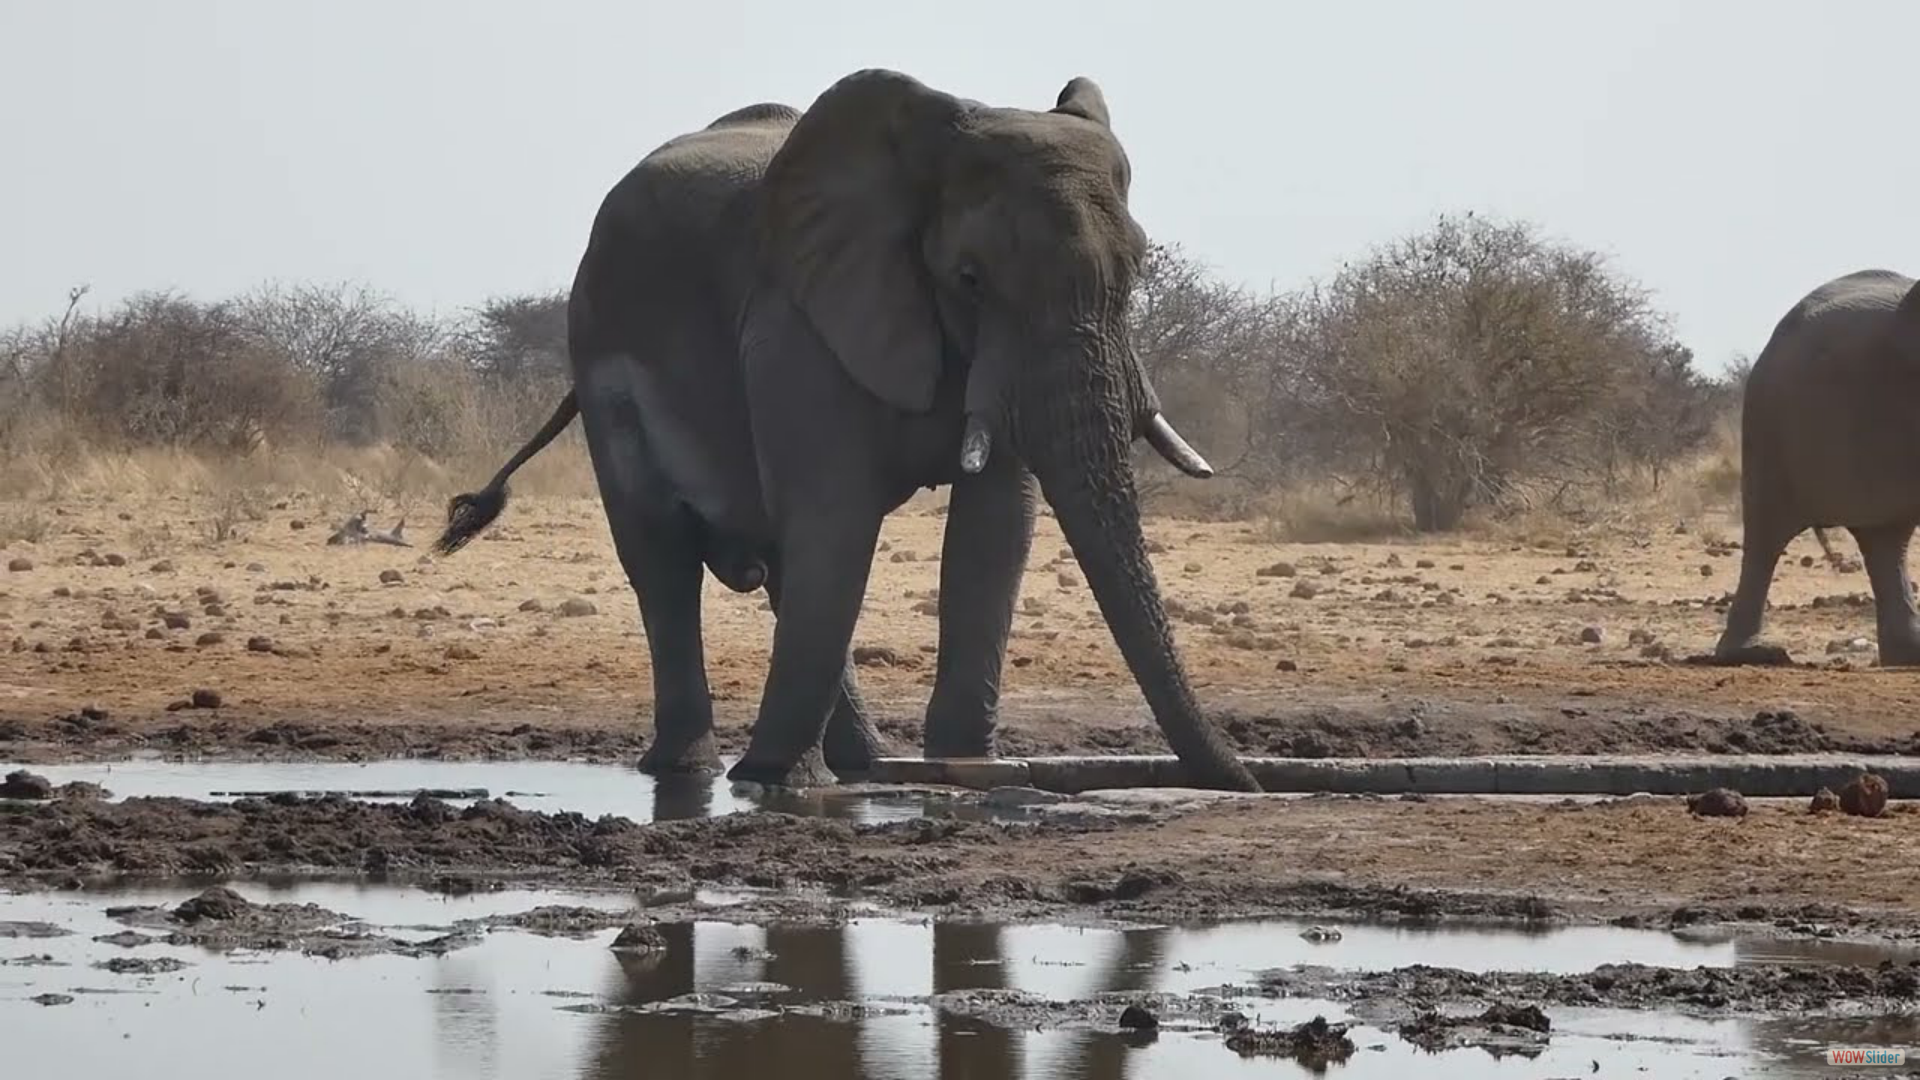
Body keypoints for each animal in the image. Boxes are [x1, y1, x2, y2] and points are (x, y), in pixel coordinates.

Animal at [433, 69, 1259, 791]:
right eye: (969, 279)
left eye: (1137, 272)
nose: (1248, 784)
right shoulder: (795, 324)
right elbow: (837, 519)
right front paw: (771, 781)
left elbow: (993, 529)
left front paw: (963, 770)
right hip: (605, 356)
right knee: (664, 560)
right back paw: (709, 772)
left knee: (780, 561)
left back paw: (858, 767)